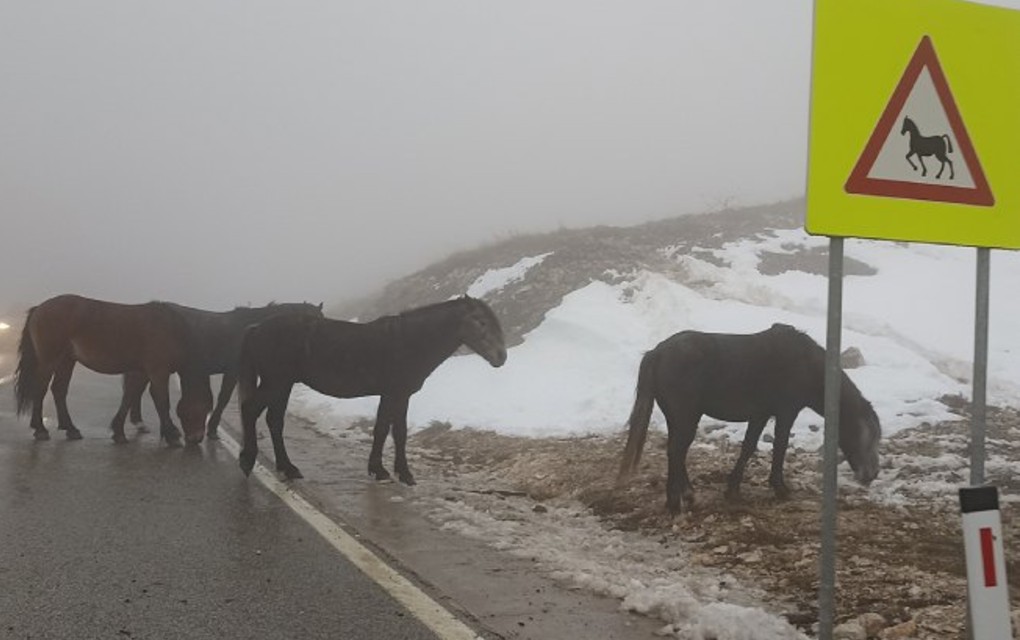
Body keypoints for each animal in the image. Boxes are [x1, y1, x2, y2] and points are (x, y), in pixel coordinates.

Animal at [14, 293, 212, 445]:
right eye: (203, 407)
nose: (196, 439)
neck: (170, 329)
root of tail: (40, 308)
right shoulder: (158, 372)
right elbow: (162, 401)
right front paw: (172, 435)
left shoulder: (140, 372)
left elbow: (129, 396)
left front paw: (119, 432)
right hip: (49, 360)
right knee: (40, 390)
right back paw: (40, 429)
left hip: (66, 360)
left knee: (59, 390)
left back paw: (71, 429)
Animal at [239, 298, 510, 483]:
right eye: (481, 321)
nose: (501, 357)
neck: (409, 341)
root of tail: (255, 328)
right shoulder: (394, 394)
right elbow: (388, 431)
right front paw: (389, 471)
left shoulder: (398, 396)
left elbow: (392, 431)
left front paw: (393, 471)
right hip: (276, 383)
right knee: (250, 411)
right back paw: (247, 461)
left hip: (282, 385)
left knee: (274, 421)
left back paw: (288, 467)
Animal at [616, 324, 881, 516]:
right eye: (868, 437)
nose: (871, 474)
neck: (806, 365)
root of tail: (657, 352)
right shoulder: (786, 412)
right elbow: (779, 447)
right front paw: (780, 488)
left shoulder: (760, 414)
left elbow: (748, 447)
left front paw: (733, 489)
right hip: (686, 417)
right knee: (676, 452)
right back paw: (675, 502)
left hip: (679, 418)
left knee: (677, 453)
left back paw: (687, 497)